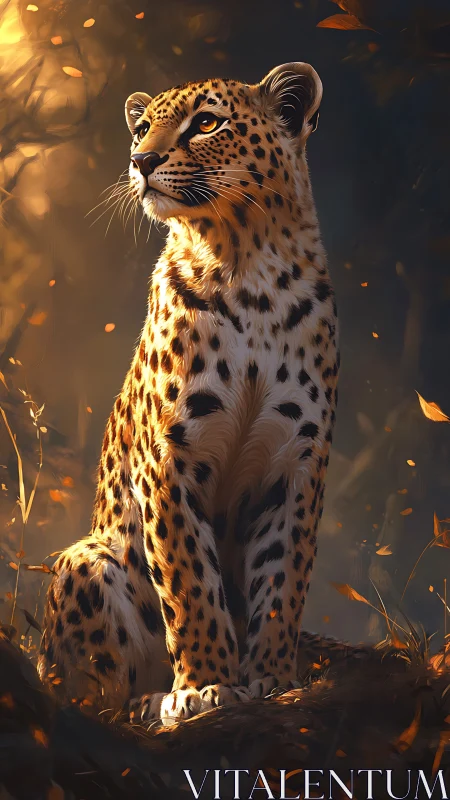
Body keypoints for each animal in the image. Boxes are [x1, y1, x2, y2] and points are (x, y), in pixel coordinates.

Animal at [38, 61, 341, 726]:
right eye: (143, 127)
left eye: (206, 122)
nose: (140, 159)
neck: (249, 264)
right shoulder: (168, 458)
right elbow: (188, 581)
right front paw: (204, 685)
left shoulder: (296, 463)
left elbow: (282, 580)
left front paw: (272, 678)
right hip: (84, 561)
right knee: (95, 695)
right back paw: (148, 699)